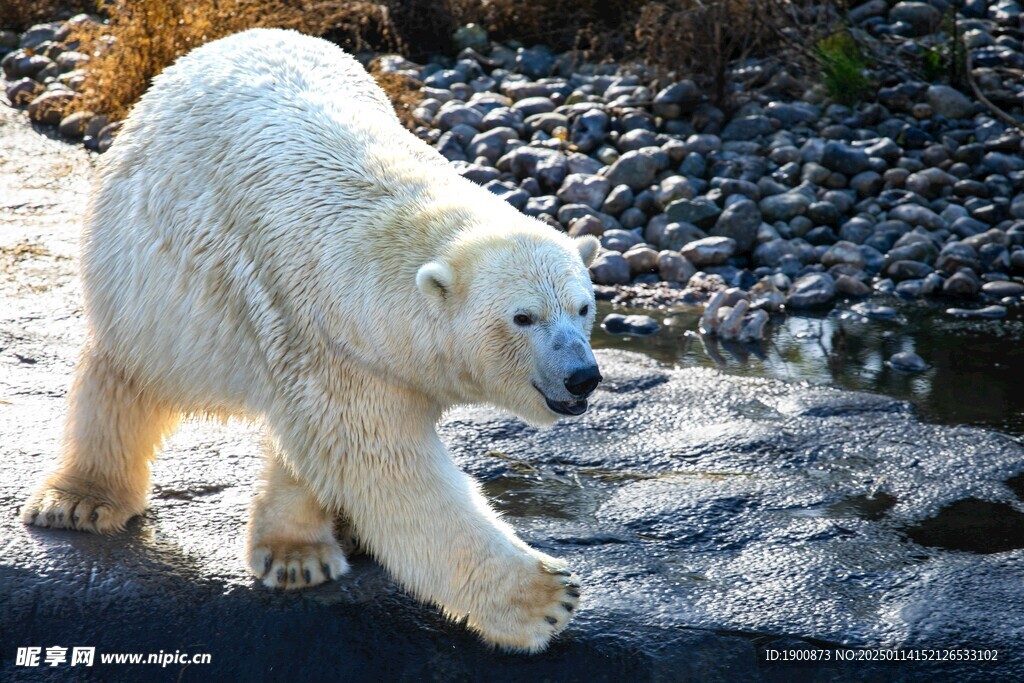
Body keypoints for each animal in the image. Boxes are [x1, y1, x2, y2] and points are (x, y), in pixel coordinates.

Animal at [19, 29, 602, 655]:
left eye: (583, 306)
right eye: (523, 317)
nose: (583, 376)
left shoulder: (333, 349)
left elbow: (321, 450)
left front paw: (300, 553)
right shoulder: (319, 333)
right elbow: (389, 469)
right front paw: (546, 597)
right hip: (143, 272)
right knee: (128, 373)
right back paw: (79, 500)